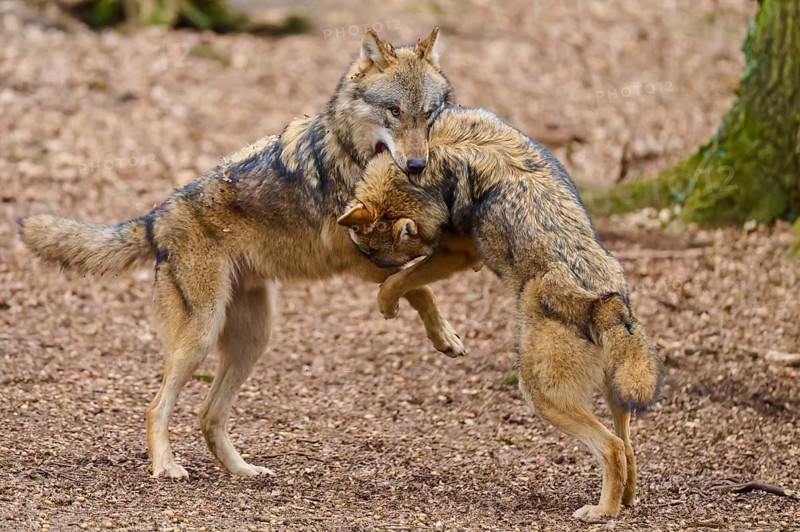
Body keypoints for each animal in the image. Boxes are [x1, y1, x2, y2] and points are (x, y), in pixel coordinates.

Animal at [18, 28, 462, 480]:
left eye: (428, 114)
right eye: (393, 110)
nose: (416, 164)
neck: (353, 154)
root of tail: (156, 217)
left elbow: (419, 275)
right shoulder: (360, 259)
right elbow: (415, 284)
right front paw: (444, 334)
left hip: (252, 340)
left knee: (207, 413)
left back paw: (244, 472)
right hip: (201, 335)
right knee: (156, 407)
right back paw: (167, 467)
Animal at [338, 106, 664, 520]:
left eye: (375, 254)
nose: (358, 270)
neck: (432, 159)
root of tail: (605, 300)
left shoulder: (457, 254)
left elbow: (399, 281)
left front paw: (387, 303)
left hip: (540, 395)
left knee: (612, 448)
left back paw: (601, 512)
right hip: (617, 396)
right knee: (631, 449)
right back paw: (625, 501)